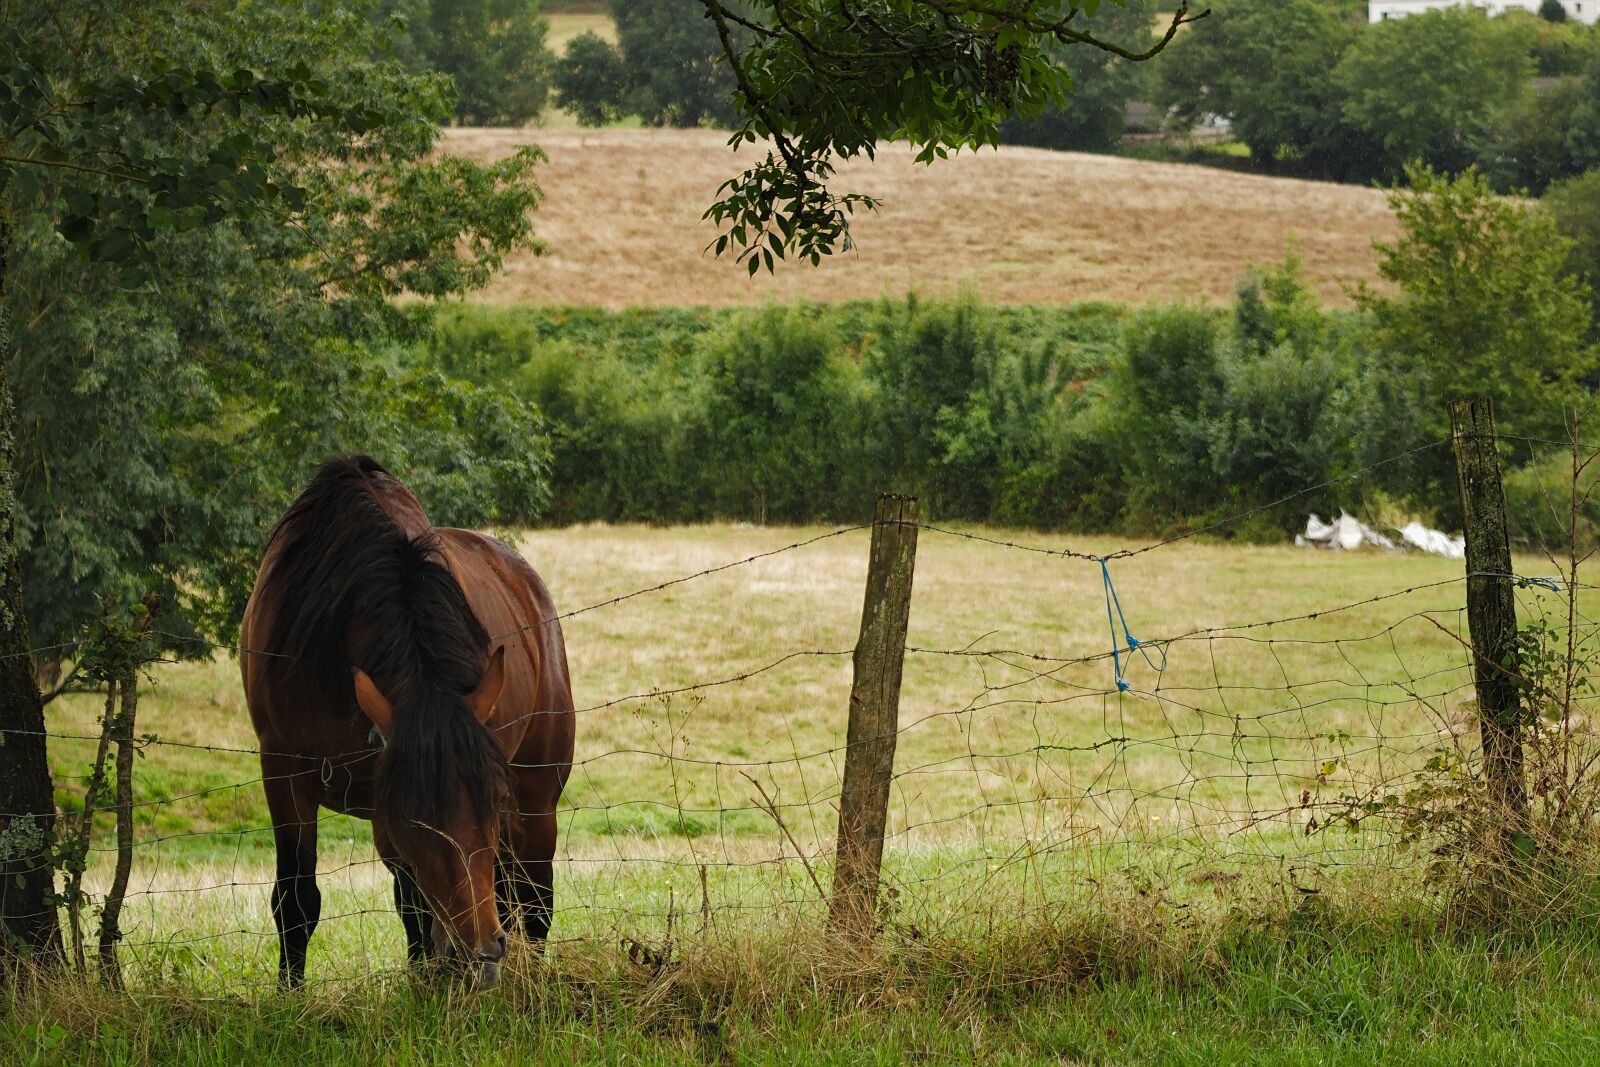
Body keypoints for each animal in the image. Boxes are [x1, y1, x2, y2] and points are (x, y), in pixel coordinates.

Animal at [240, 455, 574, 989]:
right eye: (413, 815)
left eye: (493, 801)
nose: (480, 951)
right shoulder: (288, 773)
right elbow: (297, 901)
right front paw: (289, 995)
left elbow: (419, 906)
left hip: (537, 803)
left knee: (533, 903)